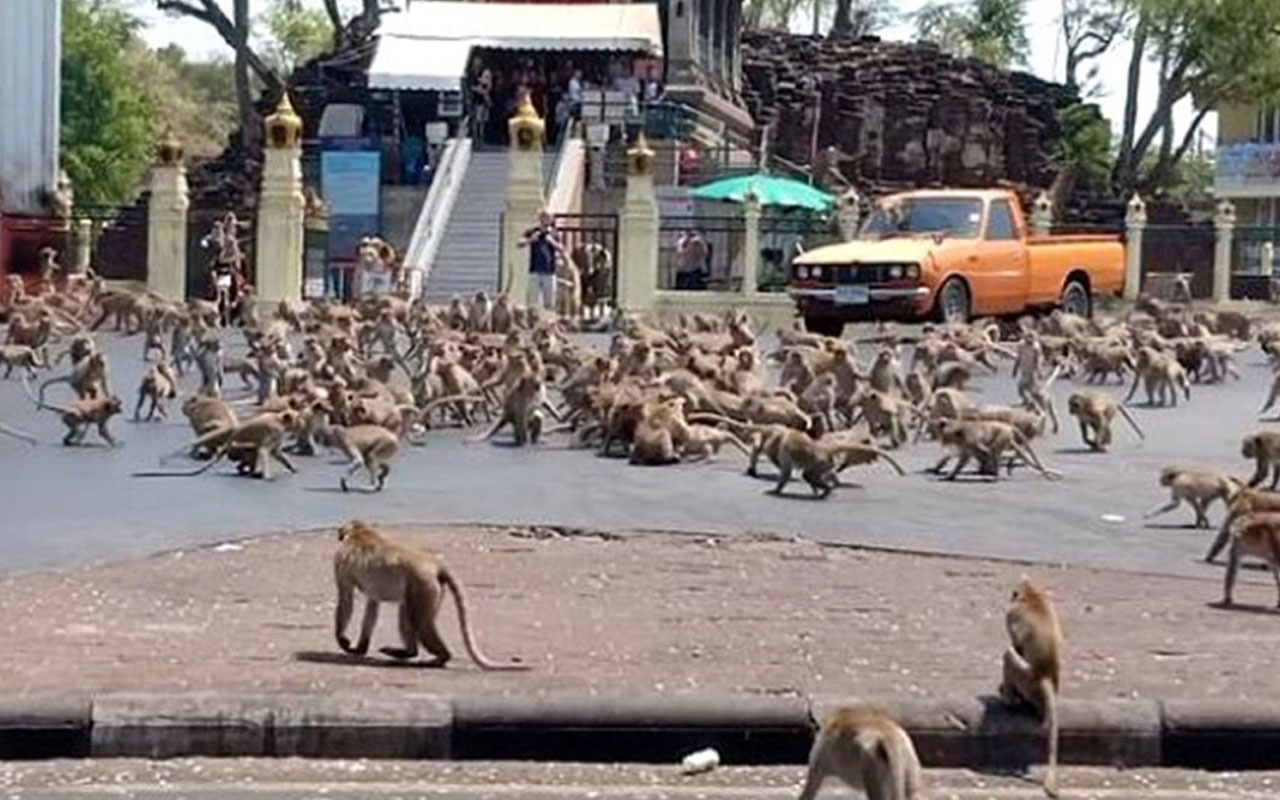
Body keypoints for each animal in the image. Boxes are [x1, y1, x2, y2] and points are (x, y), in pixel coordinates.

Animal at [335, 517, 529, 665]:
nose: (339, 534)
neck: (361, 532)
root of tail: (434, 563)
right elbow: (373, 603)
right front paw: (360, 648)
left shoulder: (340, 561)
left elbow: (346, 599)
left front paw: (342, 640)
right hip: (430, 588)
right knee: (408, 614)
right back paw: (410, 652)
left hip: (423, 585)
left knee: (420, 623)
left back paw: (441, 657)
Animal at [793, 706, 926, 798]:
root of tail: (890, 735)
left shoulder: (820, 756)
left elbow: (811, 787)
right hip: (908, 756)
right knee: (913, 793)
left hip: (871, 761)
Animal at [998, 576, 1059, 793]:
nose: (1010, 595)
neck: (1033, 594)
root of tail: (1045, 675)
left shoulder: (1011, 613)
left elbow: (1015, 643)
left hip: (1026, 678)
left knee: (1009, 654)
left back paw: (1008, 699)